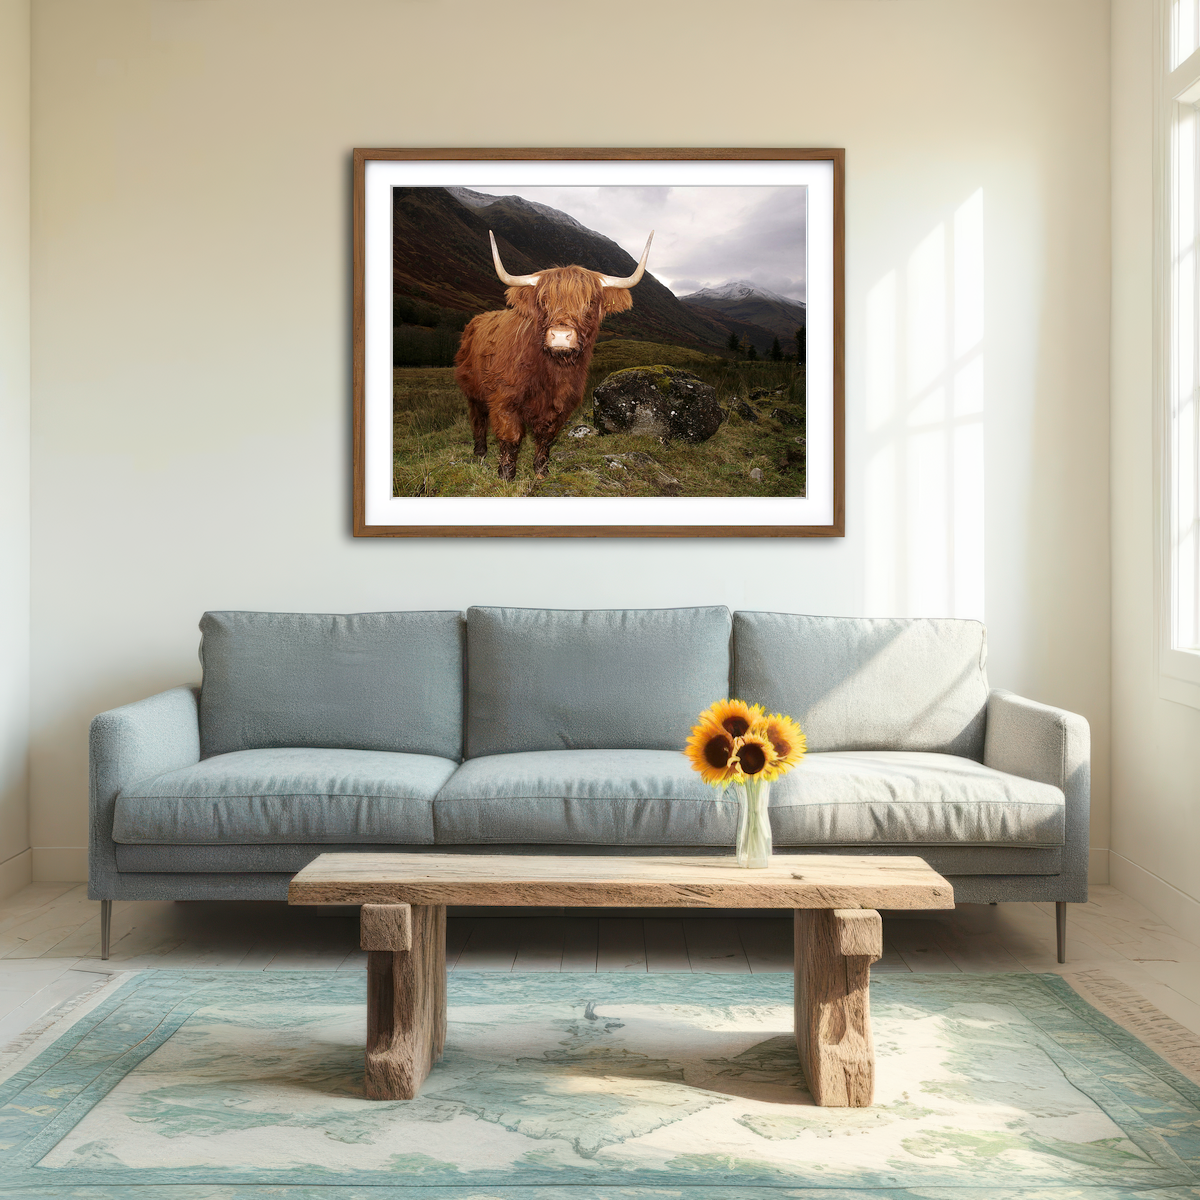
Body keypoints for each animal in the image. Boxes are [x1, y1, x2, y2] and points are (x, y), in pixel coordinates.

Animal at [454, 229, 654, 481]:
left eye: (590, 302)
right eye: (543, 301)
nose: (560, 335)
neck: (552, 372)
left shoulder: (562, 404)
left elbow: (546, 438)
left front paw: (541, 471)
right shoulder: (504, 398)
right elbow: (511, 438)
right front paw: (506, 475)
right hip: (473, 390)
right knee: (478, 419)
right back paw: (480, 453)